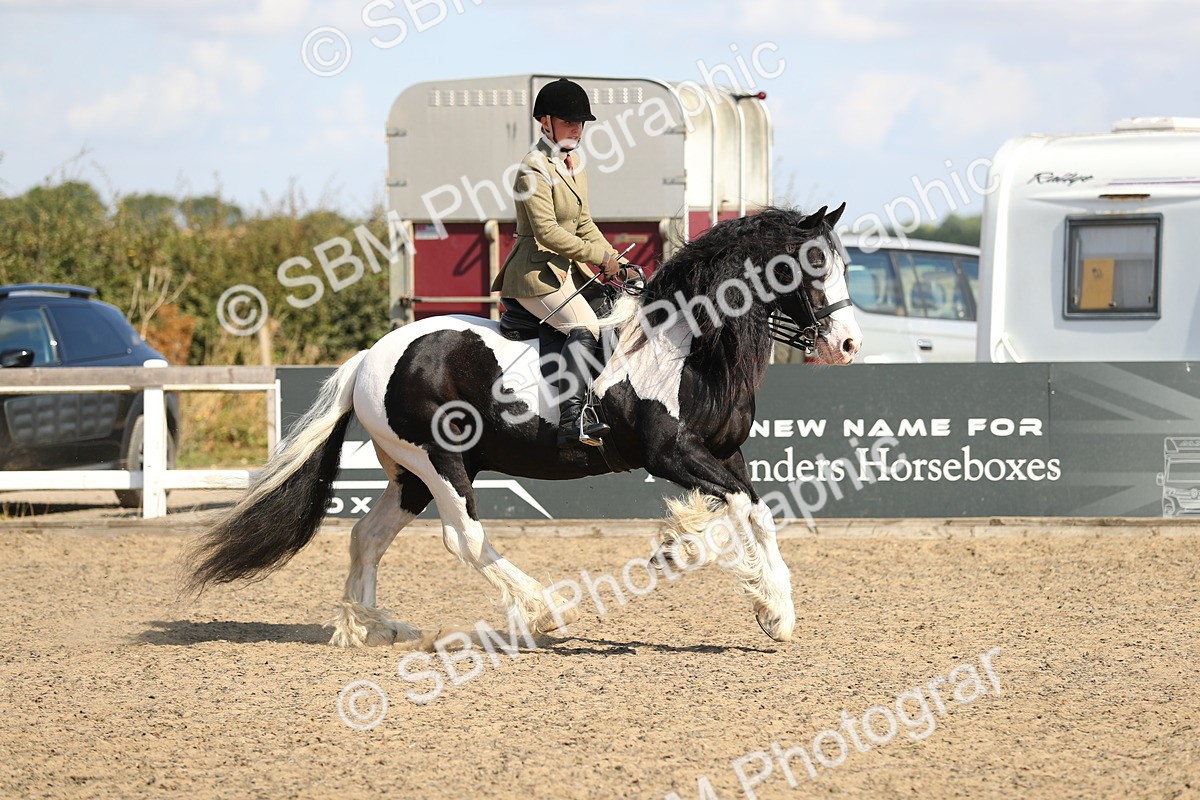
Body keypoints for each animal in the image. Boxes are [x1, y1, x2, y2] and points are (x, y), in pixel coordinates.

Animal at [186, 203, 862, 647]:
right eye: (807, 264)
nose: (849, 344)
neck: (682, 345)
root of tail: (371, 357)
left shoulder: (726, 453)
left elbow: (757, 512)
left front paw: (771, 608)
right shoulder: (670, 454)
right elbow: (739, 511)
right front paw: (721, 567)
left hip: (409, 475)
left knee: (367, 538)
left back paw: (374, 627)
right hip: (440, 464)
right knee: (463, 538)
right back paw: (543, 611)